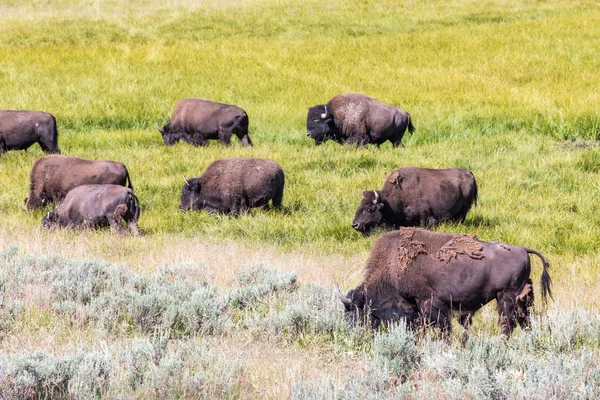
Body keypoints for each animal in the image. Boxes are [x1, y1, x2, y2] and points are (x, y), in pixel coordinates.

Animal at [336, 227, 552, 336]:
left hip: (506, 296)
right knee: (524, 321)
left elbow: (440, 327)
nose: (352, 334)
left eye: (353, 312)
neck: (393, 266)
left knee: (508, 323)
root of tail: (522, 249)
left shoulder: (428, 302)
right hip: (522, 297)